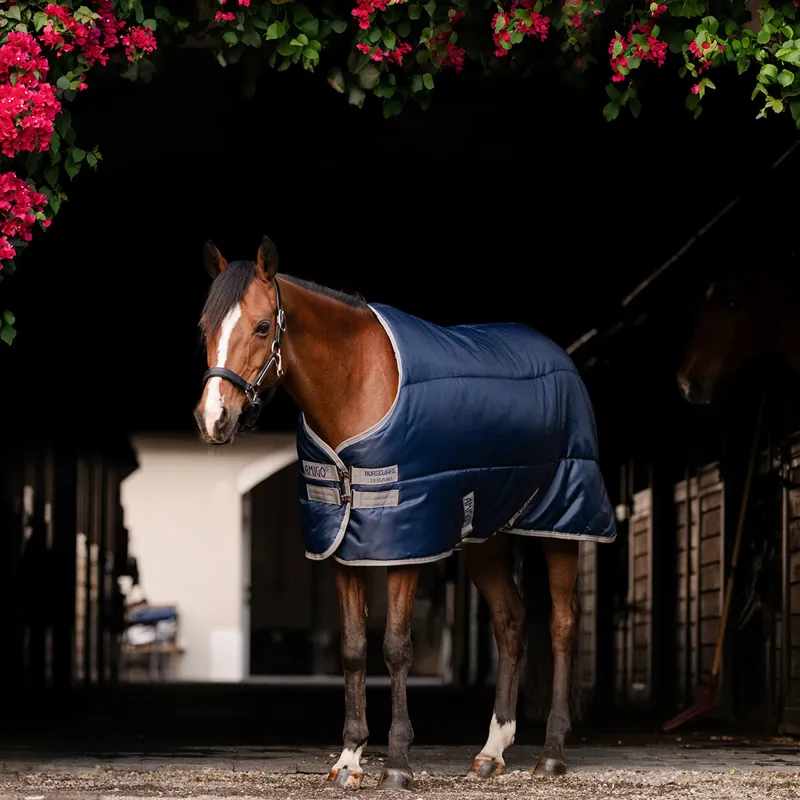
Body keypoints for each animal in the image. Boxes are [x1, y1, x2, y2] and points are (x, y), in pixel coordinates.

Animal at [193, 236, 616, 789]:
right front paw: (349, 759)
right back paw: (491, 751)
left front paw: (396, 763)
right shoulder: (341, 546)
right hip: (488, 538)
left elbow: (395, 648)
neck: (356, 386)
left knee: (563, 623)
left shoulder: (406, 545)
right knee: (511, 622)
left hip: (562, 524)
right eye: (205, 327)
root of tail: (559, 357)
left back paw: (551, 753)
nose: (213, 419)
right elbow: (353, 649)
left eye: (263, 327)